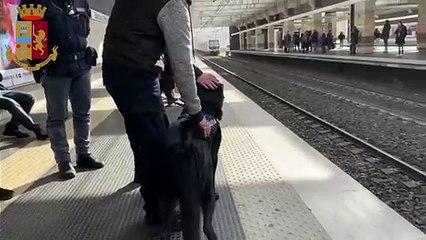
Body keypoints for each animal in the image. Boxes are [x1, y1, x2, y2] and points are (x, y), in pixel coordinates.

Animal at [162, 82, 223, 238]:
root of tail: (185, 141)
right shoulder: (214, 157)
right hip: (203, 187)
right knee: (206, 226)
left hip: (166, 190)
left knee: (164, 227)